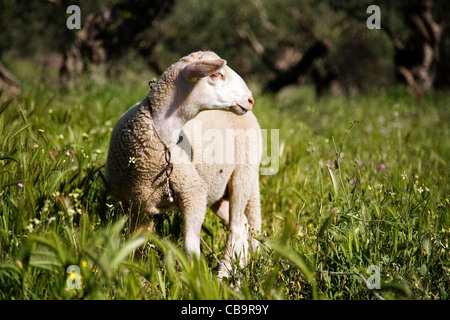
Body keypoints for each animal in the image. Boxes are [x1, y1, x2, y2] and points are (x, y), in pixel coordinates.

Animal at [104, 51, 260, 278]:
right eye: (217, 74)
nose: (250, 99)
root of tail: (252, 117)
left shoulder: (192, 192)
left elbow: (189, 246)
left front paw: (195, 279)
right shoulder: (134, 204)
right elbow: (134, 244)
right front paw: (134, 274)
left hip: (243, 174)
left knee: (237, 228)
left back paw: (223, 277)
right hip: (217, 190)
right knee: (244, 225)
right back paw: (238, 274)